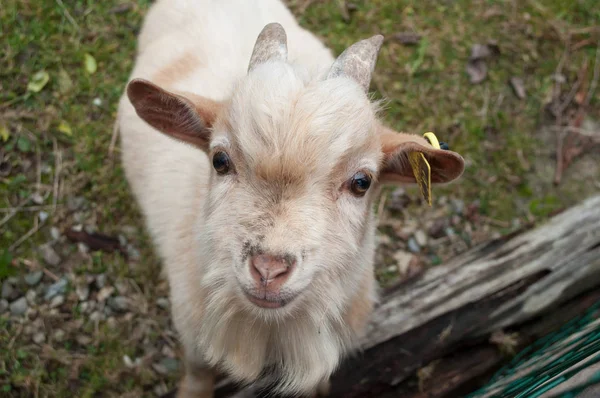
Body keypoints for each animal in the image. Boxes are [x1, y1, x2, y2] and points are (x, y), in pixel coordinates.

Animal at [116, 0, 464, 398]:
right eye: (220, 160)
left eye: (362, 182)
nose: (268, 270)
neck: (270, 331)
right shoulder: (192, 334)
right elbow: (198, 371)